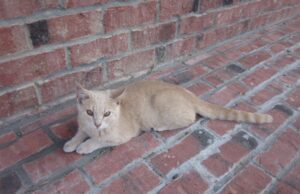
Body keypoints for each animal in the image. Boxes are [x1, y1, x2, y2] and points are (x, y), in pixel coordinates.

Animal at [64, 79, 274, 154]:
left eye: (107, 114)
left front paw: (85, 146)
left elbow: (101, 140)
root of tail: (189, 95)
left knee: (189, 119)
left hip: (162, 103)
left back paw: (160, 126)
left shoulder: (122, 135)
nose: (98, 124)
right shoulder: (84, 124)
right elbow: (80, 132)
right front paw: (72, 142)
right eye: (89, 112)